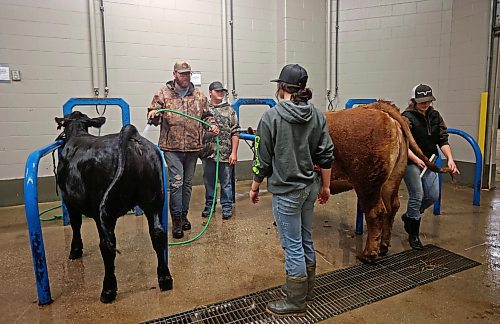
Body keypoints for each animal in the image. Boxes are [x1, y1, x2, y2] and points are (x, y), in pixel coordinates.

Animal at [55, 112, 173, 304]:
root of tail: (130, 135)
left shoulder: (69, 200)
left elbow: (75, 224)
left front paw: (75, 250)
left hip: (105, 213)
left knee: (107, 244)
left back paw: (108, 290)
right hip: (153, 200)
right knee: (157, 234)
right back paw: (164, 279)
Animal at [324, 101, 450, 264]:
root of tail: (375, 106)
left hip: (367, 183)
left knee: (376, 212)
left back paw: (368, 254)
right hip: (391, 180)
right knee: (392, 207)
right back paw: (383, 246)